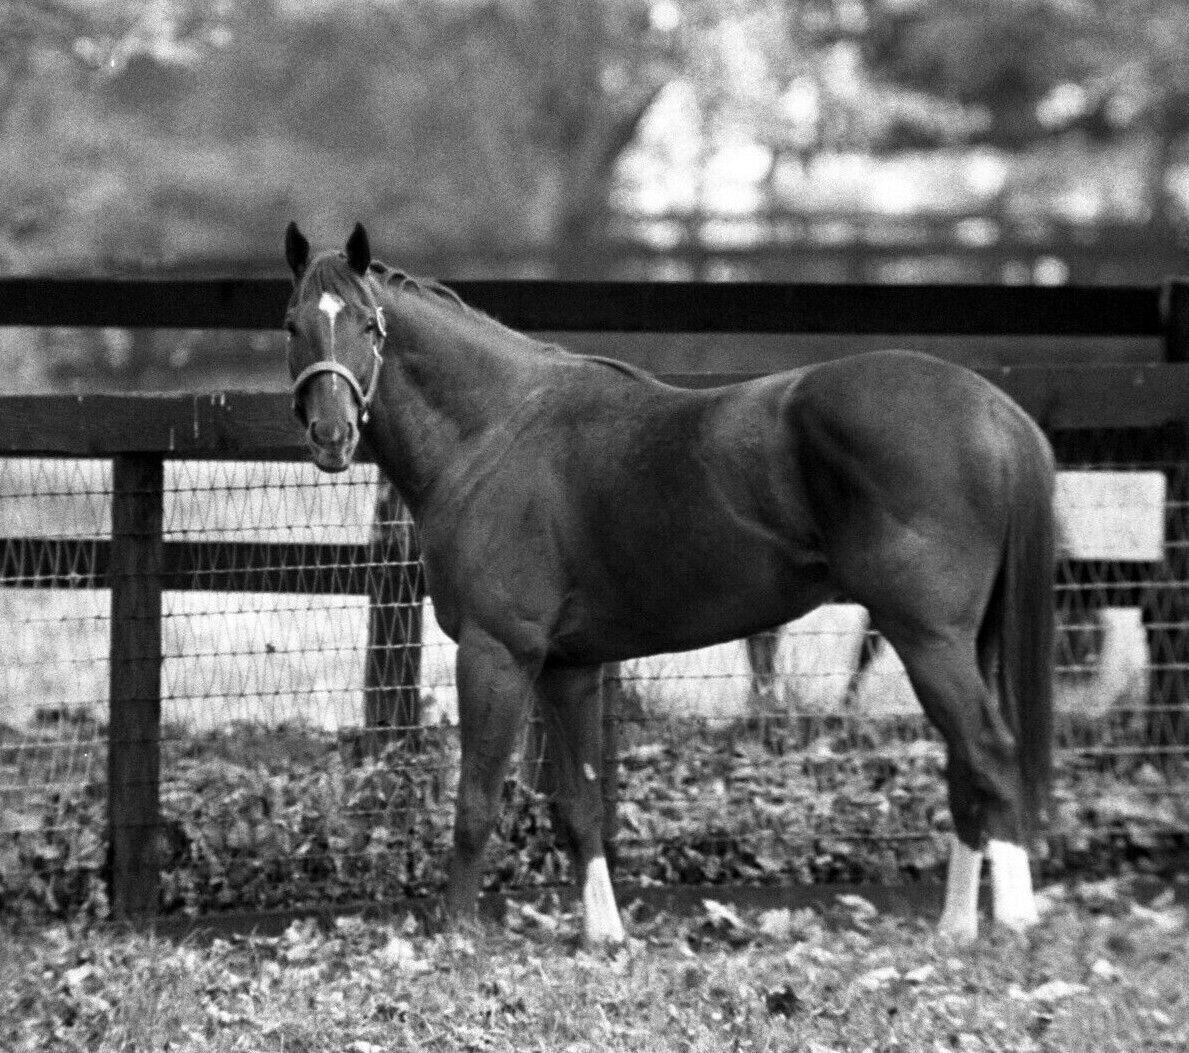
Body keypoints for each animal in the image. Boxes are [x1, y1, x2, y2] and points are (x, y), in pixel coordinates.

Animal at [282, 222, 1055, 946]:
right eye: (293, 325)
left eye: (366, 324)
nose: (331, 435)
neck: (495, 429)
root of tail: (994, 409)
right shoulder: (567, 668)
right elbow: (579, 804)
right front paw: (604, 935)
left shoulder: (496, 654)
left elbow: (475, 798)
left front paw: (455, 934)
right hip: (956, 642)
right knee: (967, 768)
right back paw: (956, 925)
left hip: (928, 638)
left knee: (990, 752)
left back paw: (1014, 920)